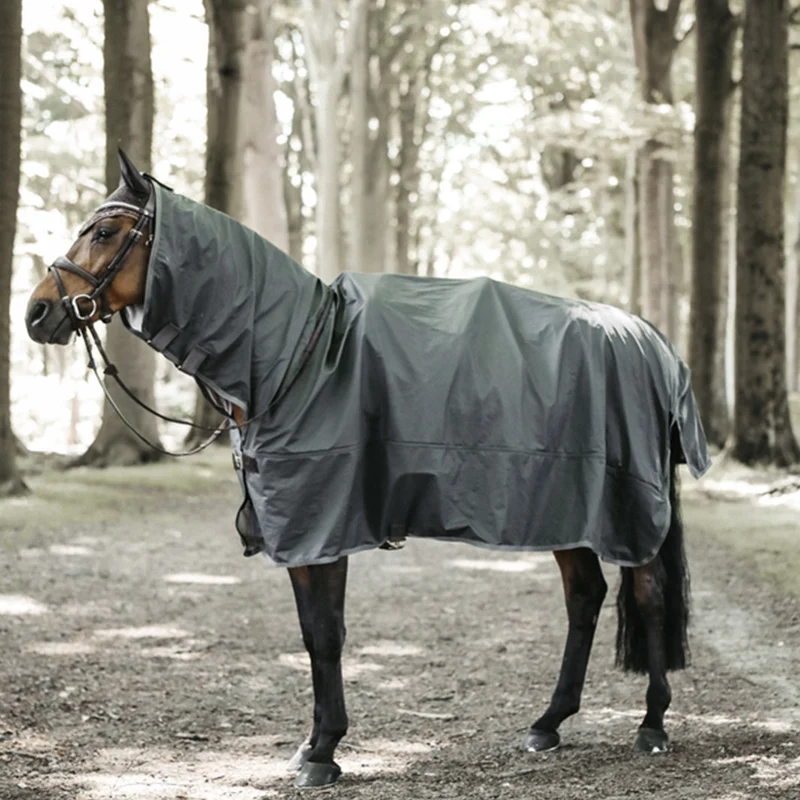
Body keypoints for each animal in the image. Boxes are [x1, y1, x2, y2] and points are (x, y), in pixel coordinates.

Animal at [26, 150, 710, 789]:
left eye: (105, 231)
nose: (36, 313)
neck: (295, 355)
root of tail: (651, 342)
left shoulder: (323, 525)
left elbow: (327, 635)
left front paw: (323, 753)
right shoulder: (302, 532)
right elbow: (312, 634)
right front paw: (312, 745)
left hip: (624, 508)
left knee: (647, 596)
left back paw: (652, 724)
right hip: (567, 508)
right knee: (585, 597)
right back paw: (549, 723)